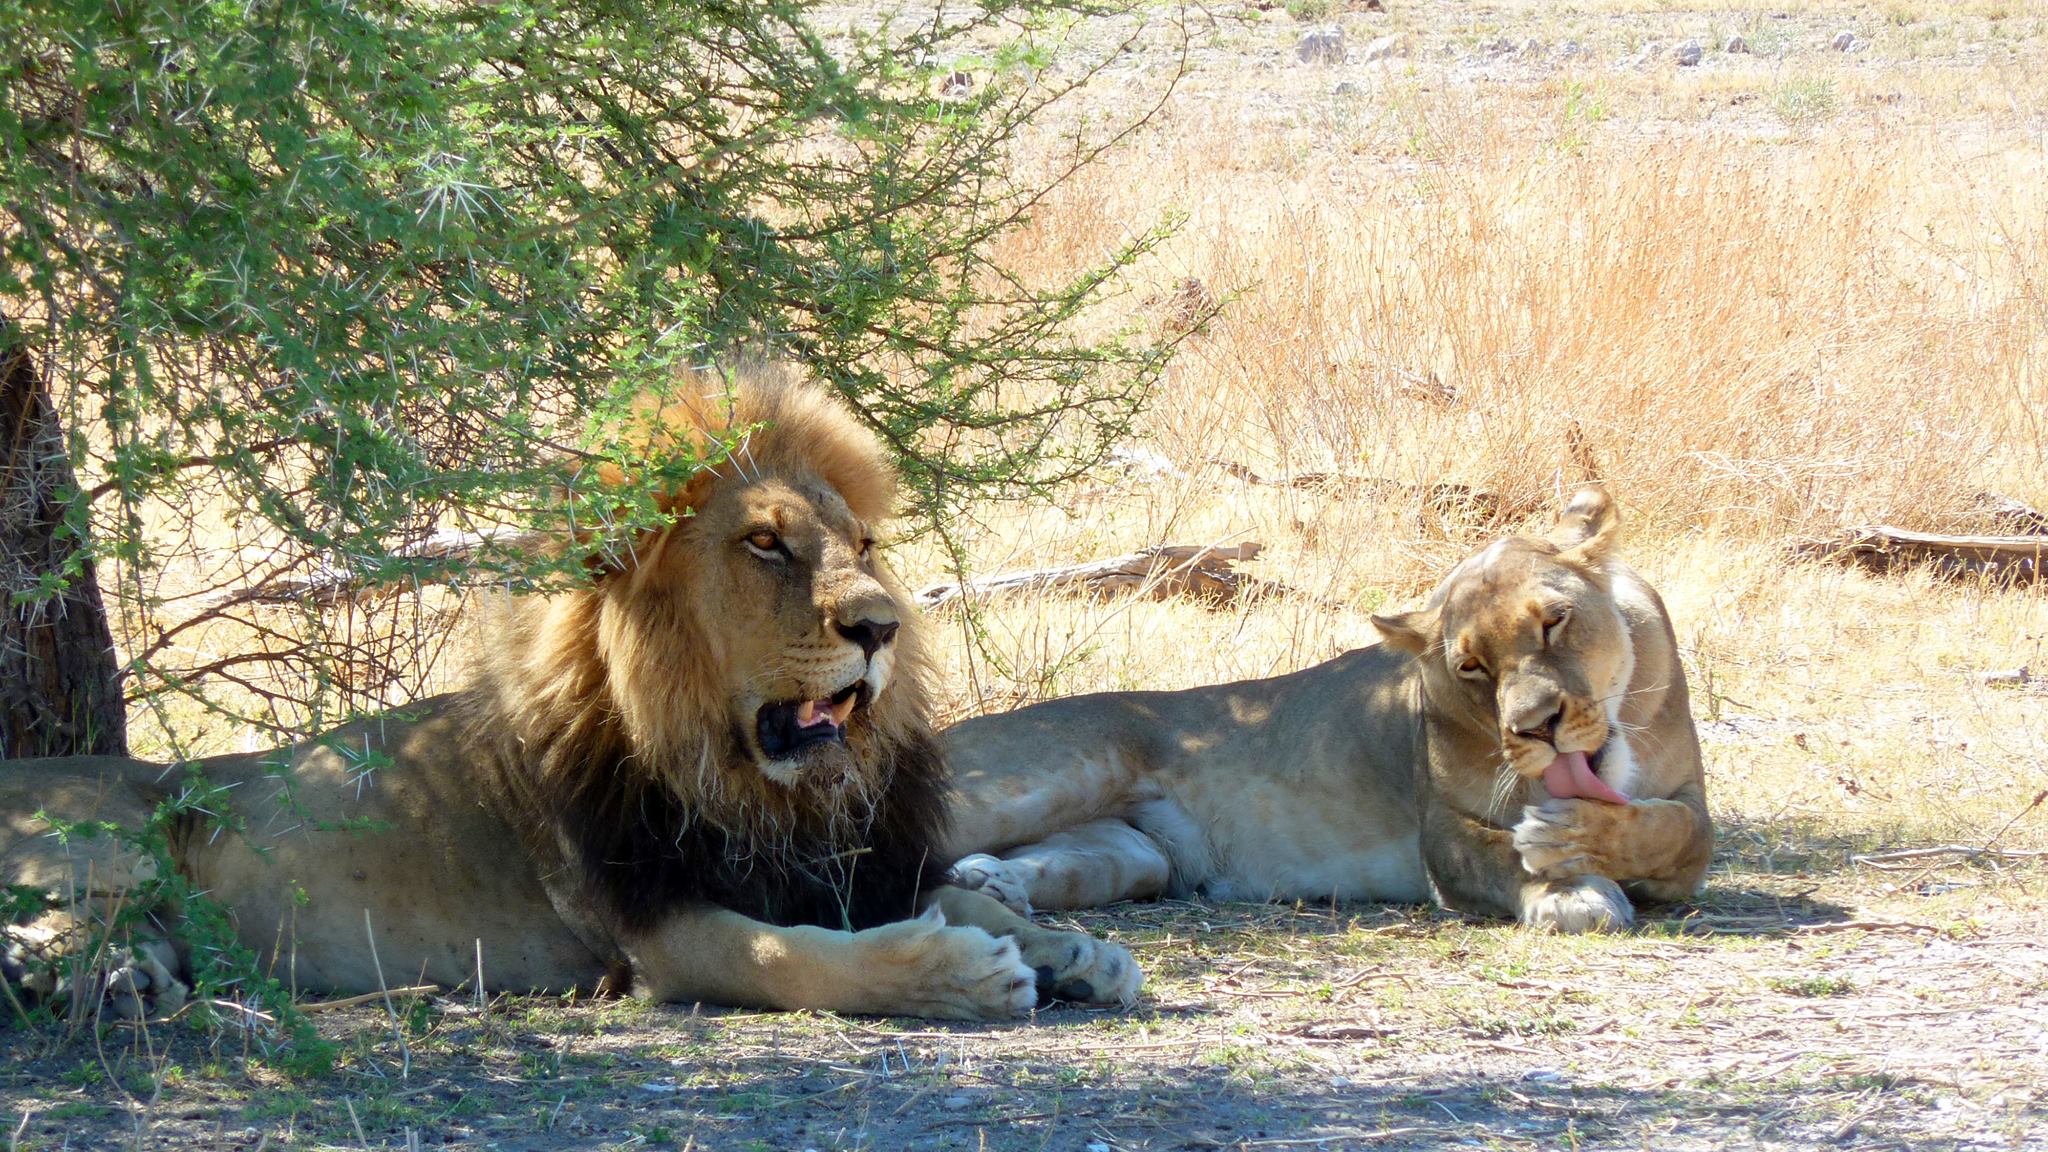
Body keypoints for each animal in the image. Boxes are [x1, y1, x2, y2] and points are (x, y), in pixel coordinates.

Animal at [0, 373, 1138, 1016]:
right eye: (765, 545)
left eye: (860, 546)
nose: (881, 626)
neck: (746, 787)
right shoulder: (655, 928)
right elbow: (797, 959)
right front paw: (961, 973)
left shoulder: (836, 866)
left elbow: (951, 892)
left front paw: (1077, 950)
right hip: (111, 836)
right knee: (50, 920)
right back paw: (94, 980)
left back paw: (129, 977)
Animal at [942, 487, 1712, 926]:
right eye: (1470, 666)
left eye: (1554, 622)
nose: (1536, 728)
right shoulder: (1444, 832)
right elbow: (1506, 855)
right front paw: (1569, 888)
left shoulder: (1687, 798)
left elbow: (1679, 833)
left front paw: (1576, 839)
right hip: (1052, 775)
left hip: (1134, 853)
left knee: (1043, 861)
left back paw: (991, 884)